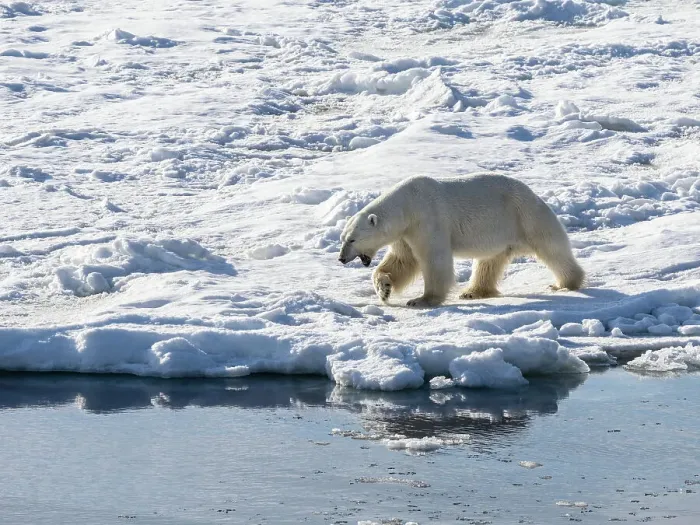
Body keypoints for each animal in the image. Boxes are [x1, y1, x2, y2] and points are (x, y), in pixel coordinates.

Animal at [338, 174, 585, 307]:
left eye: (352, 239)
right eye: (343, 238)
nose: (341, 259)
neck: (407, 206)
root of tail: (534, 194)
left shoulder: (427, 220)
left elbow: (433, 259)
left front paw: (421, 300)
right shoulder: (405, 233)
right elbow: (402, 260)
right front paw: (384, 288)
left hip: (525, 216)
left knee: (552, 248)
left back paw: (564, 283)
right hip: (499, 232)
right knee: (489, 261)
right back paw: (472, 292)